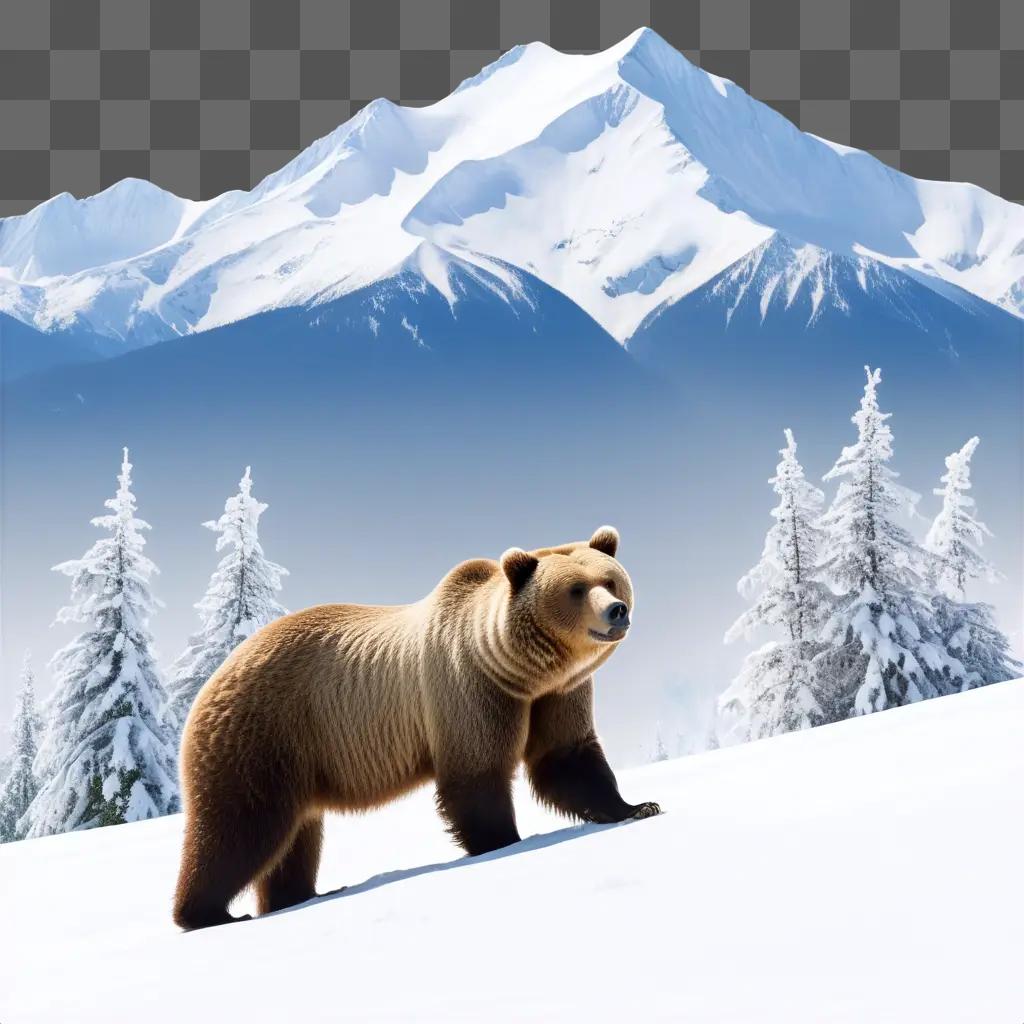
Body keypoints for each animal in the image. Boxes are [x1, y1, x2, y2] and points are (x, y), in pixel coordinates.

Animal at [172, 528, 659, 929]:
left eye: (610, 581)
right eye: (576, 590)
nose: (616, 612)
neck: (522, 671)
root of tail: (213, 678)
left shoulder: (557, 694)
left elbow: (567, 757)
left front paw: (638, 806)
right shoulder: (468, 688)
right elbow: (476, 774)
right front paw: (504, 840)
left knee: (294, 838)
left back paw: (300, 895)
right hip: (264, 733)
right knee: (240, 826)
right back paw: (206, 913)